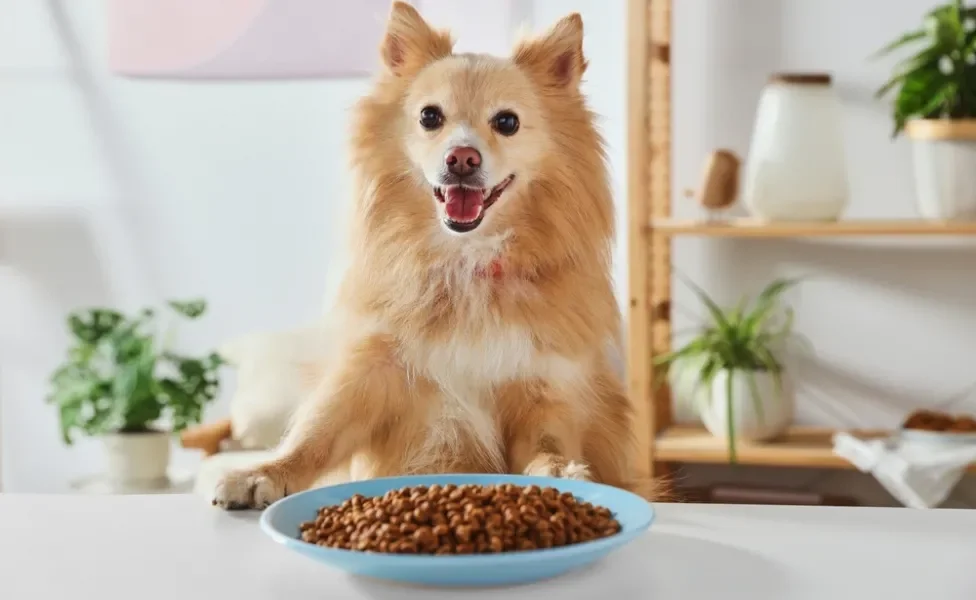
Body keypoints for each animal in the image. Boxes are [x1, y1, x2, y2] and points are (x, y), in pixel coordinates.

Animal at [213, 2, 656, 508]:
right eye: (429, 117)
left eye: (507, 122)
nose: (461, 157)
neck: (466, 261)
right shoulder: (373, 372)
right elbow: (316, 432)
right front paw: (264, 472)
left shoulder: (544, 387)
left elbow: (547, 443)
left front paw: (562, 471)